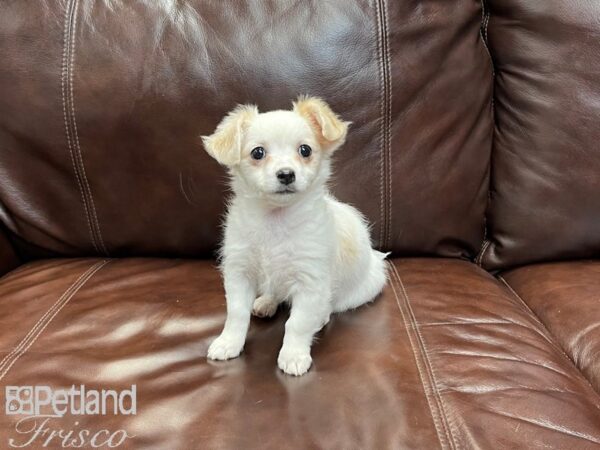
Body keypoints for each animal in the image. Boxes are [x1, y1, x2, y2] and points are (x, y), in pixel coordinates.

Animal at [203, 96, 390, 376]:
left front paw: (293, 355)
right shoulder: (239, 272)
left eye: (305, 150)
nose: (286, 174)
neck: (275, 220)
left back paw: (320, 317)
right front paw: (228, 343)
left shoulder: (310, 282)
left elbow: (298, 323)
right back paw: (266, 302)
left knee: (328, 306)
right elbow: (236, 313)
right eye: (257, 153)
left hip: (358, 291)